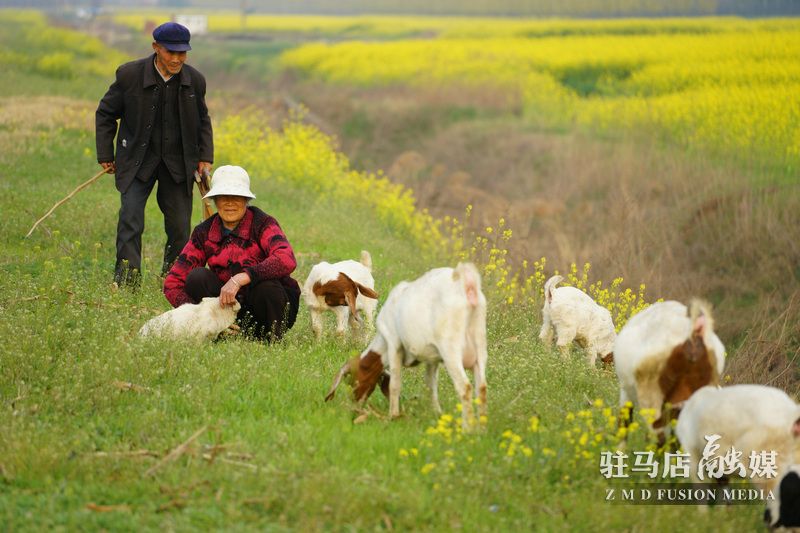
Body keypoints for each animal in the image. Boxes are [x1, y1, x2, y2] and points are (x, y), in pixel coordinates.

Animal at [324, 262, 488, 428]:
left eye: (352, 382)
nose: (355, 407)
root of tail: (467, 285)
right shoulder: (432, 358)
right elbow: (430, 385)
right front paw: (436, 413)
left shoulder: (393, 344)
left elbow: (395, 384)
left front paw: (393, 415)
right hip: (480, 347)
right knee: (481, 387)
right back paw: (481, 428)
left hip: (451, 349)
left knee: (465, 387)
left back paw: (468, 428)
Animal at [676, 384, 800, 524]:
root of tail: (791, 414)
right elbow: (722, 487)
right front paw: (721, 514)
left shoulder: (693, 456)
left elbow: (700, 488)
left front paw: (704, 517)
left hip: (767, 464)